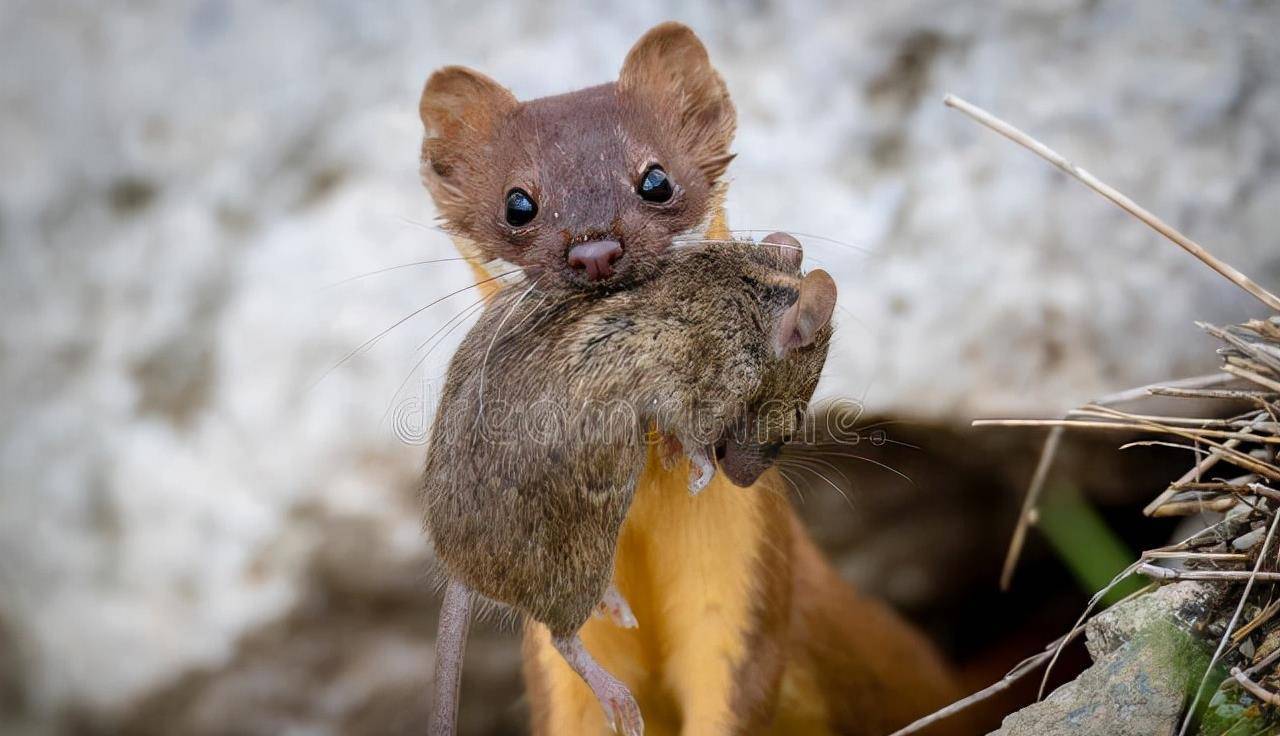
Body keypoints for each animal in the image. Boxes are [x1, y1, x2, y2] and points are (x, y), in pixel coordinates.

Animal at [424, 239, 834, 732]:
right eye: (796, 420)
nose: (743, 481)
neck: (757, 288)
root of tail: (461, 572)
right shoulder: (700, 386)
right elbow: (692, 436)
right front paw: (701, 473)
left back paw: (614, 603)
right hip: (579, 553)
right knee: (562, 637)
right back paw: (616, 696)